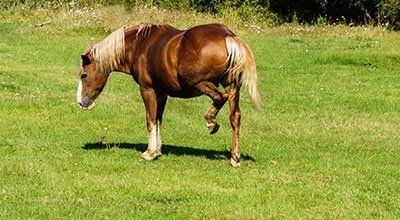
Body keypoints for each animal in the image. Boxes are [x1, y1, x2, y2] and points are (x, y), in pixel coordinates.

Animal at [76, 23, 260, 167]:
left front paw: (149, 153)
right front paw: (157, 150)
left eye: (84, 75)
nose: (81, 102)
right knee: (235, 117)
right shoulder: (162, 94)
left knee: (220, 97)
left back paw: (211, 123)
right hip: (232, 86)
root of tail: (228, 36)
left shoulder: (147, 90)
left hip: (200, 83)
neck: (139, 45)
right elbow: (158, 120)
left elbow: (150, 120)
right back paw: (235, 158)